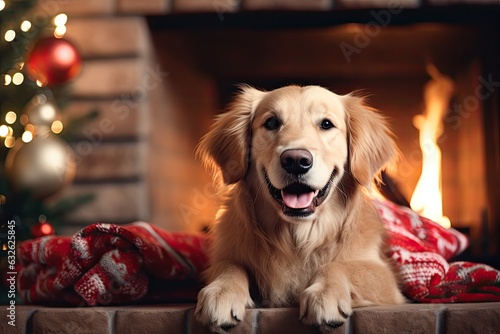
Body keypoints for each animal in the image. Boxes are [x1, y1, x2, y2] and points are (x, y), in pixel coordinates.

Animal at [194, 85, 406, 332]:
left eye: (326, 124)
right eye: (271, 122)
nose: (295, 160)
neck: (298, 238)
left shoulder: (386, 278)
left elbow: (339, 265)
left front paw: (325, 294)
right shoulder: (224, 254)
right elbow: (230, 265)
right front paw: (221, 291)